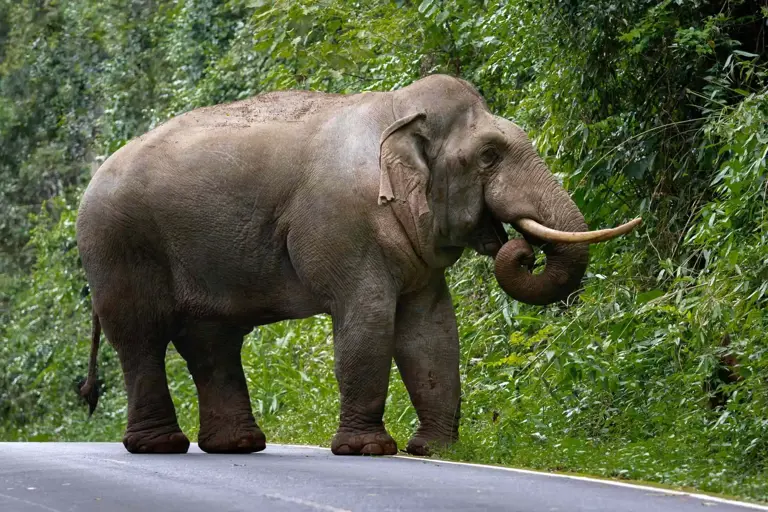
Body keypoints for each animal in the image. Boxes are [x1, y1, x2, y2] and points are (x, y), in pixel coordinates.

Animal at [76, 74, 639, 456]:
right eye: (489, 156)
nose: (521, 248)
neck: (397, 110)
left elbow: (433, 332)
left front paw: (435, 451)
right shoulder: (345, 225)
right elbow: (366, 322)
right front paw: (369, 450)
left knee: (211, 341)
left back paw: (237, 446)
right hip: (116, 246)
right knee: (141, 337)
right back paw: (160, 446)